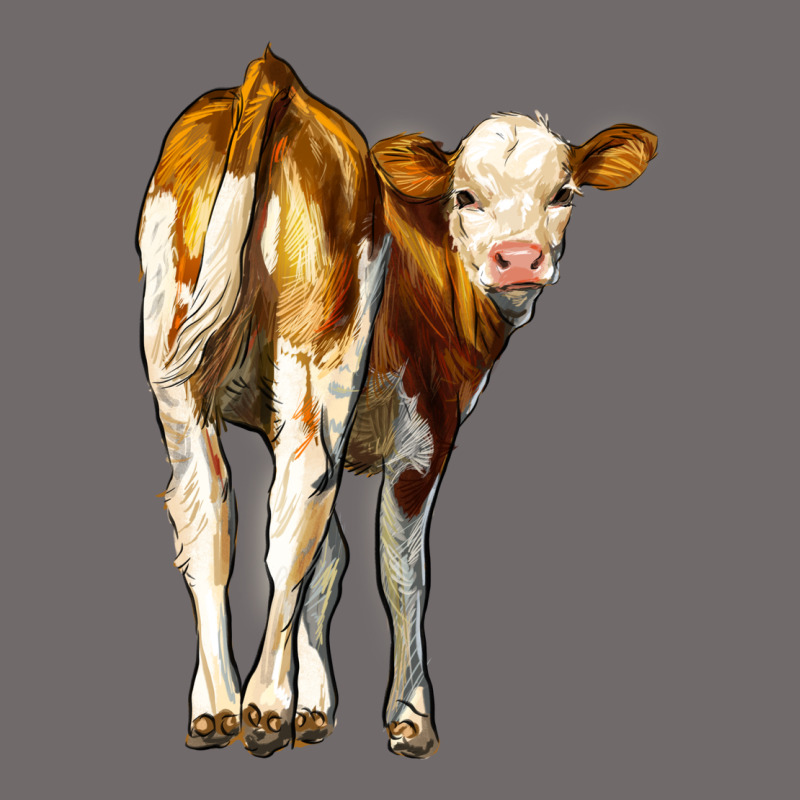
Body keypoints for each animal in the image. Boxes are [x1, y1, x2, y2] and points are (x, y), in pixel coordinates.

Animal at [138, 46, 656, 759]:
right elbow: (400, 571)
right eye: (465, 196)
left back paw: (217, 706)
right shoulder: (426, 432)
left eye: (564, 193)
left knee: (209, 513)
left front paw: (315, 709)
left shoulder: (281, 419)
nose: (518, 259)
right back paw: (263, 707)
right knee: (293, 514)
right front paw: (408, 716)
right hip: (319, 362)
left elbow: (328, 562)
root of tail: (276, 81)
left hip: (176, 370)